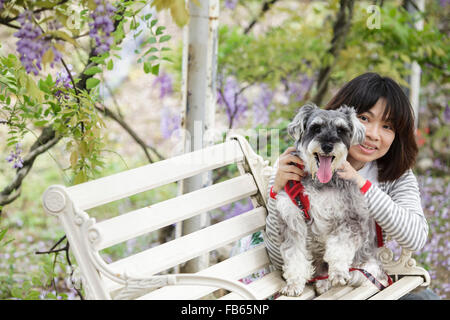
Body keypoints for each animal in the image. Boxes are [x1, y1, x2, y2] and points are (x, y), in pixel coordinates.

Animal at [276, 104, 388, 296]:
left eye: (341, 130)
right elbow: (294, 255)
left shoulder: (349, 218)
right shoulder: (292, 221)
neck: (319, 181)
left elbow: (340, 246)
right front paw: (293, 284)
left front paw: (338, 273)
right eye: (315, 128)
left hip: (367, 268)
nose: (327, 146)